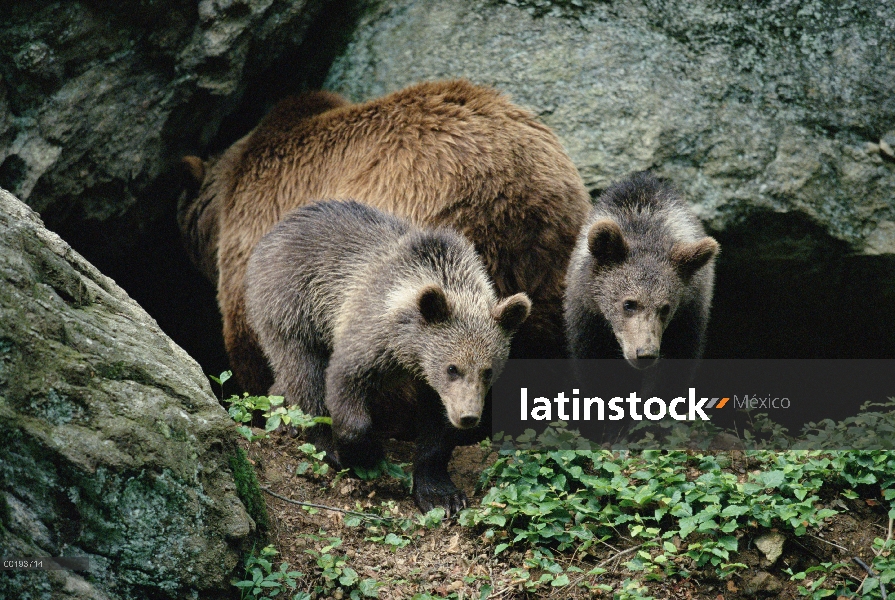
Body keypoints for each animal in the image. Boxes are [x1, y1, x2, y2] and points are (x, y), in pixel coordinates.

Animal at [243, 200, 532, 510]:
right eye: (452, 368)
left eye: (488, 371)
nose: (468, 417)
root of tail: (279, 227)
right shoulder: (369, 331)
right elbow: (344, 384)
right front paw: (363, 456)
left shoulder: (433, 381)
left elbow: (436, 429)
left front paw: (441, 494)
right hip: (291, 306)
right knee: (303, 369)